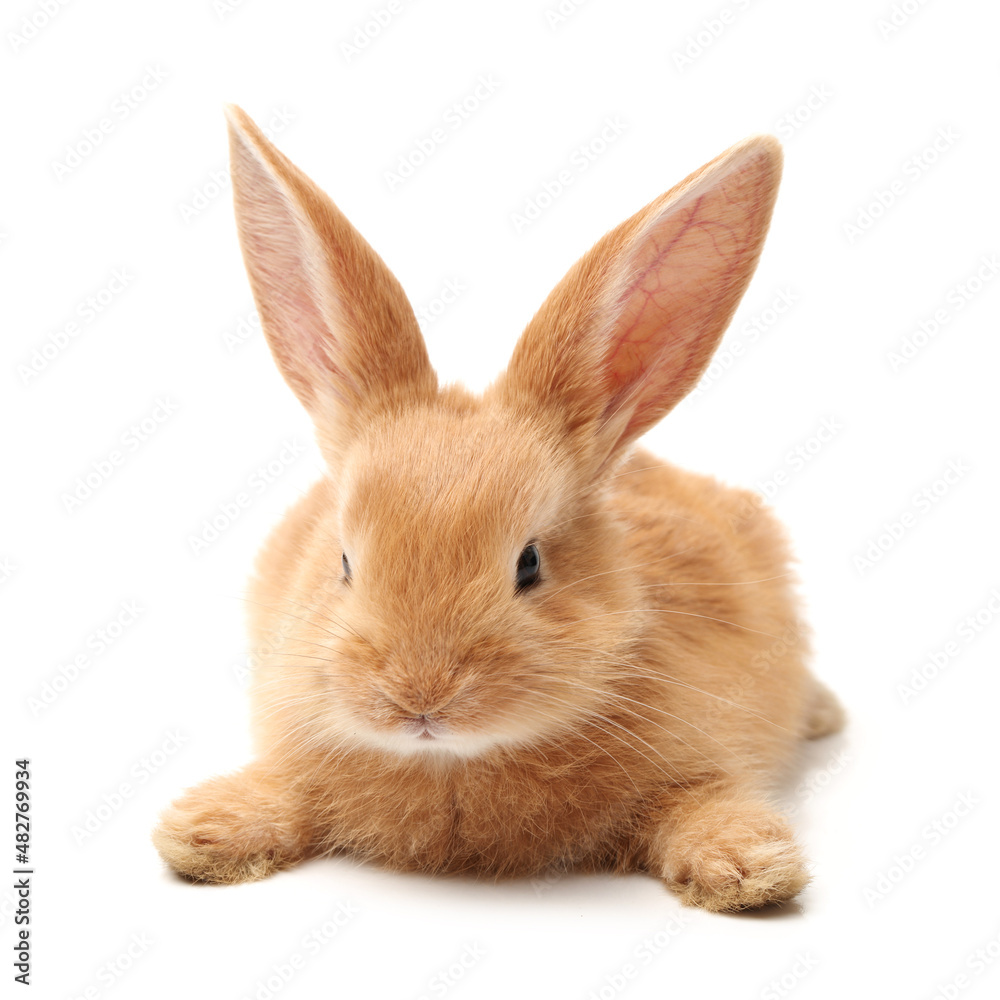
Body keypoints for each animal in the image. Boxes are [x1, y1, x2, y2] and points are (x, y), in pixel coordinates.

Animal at [152, 105, 844, 912]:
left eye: (530, 563)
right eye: (344, 563)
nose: (420, 699)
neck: (454, 764)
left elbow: (701, 802)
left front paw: (751, 868)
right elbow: (284, 790)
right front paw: (203, 832)